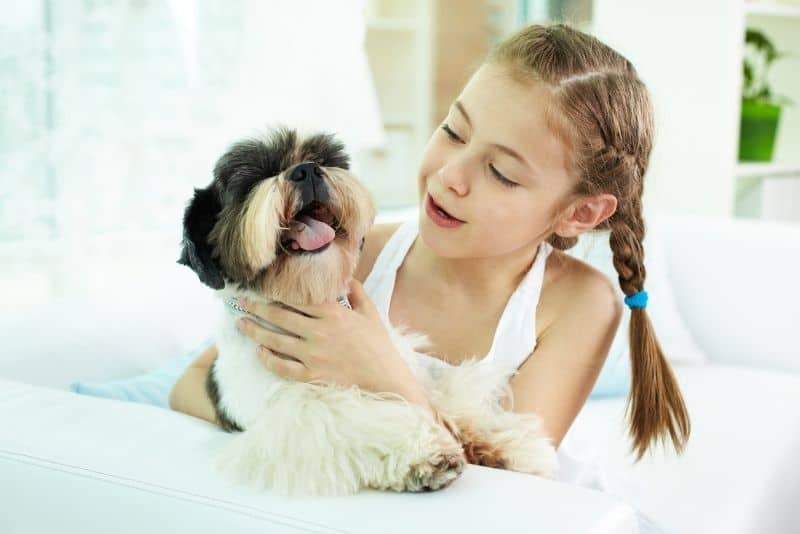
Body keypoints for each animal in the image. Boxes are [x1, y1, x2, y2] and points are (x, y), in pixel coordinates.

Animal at [179, 126, 560, 498]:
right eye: (253, 177)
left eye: (324, 158)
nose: (306, 171)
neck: (307, 300)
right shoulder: (296, 414)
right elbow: (354, 418)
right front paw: (424, 455)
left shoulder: (400, 364)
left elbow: (440, 396)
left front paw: (505, 441)